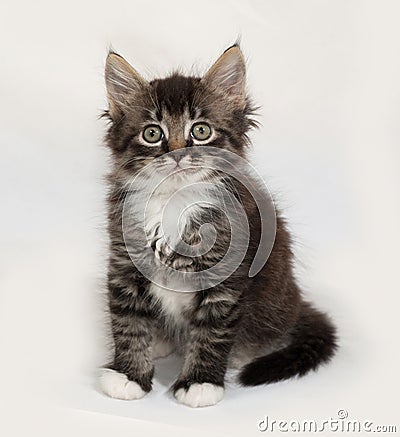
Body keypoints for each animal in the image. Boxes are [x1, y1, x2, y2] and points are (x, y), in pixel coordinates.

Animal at [98, 46, 336, 408]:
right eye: (152, 133)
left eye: (201, 131)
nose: (177, 154)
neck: (175, 202)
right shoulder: (124, 264)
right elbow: (128, 322)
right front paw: (128, 375)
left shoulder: (227, 276)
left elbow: (213, 332)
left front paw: (200, 382)